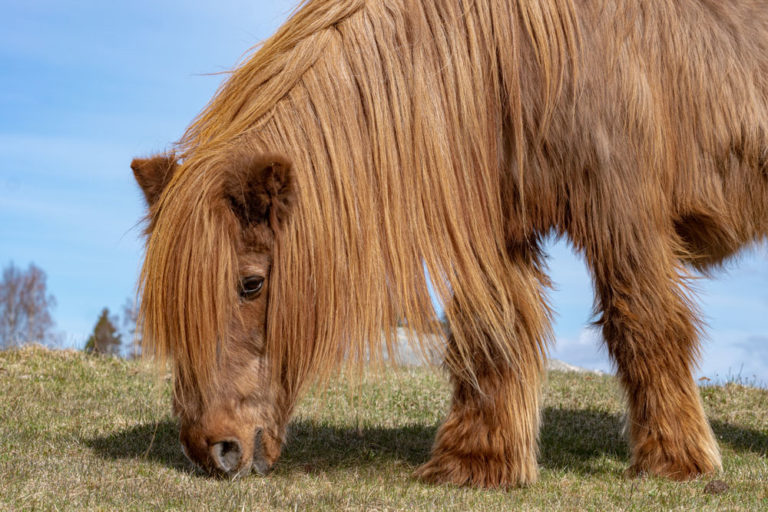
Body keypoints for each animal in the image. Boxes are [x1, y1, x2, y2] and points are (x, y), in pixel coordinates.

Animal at [132, 0, 768, 488]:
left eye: (251, 283)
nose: (210, 450)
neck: (517, 62)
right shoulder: (497, 233)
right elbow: (492, 336)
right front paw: (476, 463)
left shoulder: (622, 213)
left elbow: (644, 326)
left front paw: (675, 462)